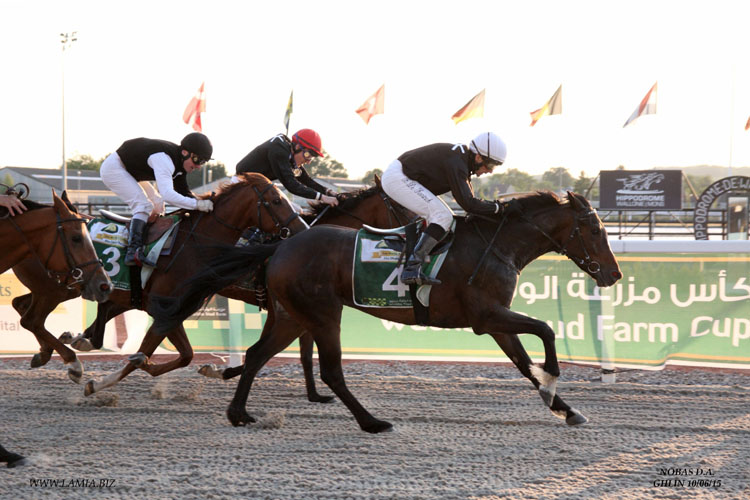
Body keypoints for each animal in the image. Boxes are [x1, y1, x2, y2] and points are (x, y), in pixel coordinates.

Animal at [151, 189, 624, 432]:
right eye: (594, 228)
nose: (614, 274)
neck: (495, 246)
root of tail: (282, 245)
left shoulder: (495, 322)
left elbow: (525, 363)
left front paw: (564, 407)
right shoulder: (485, 317)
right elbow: (545, 330)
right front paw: (554, 377)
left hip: (290, 314)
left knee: (255, 355)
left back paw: (239, 413)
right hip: (323, 313)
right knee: (330, 370)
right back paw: (372, 421)